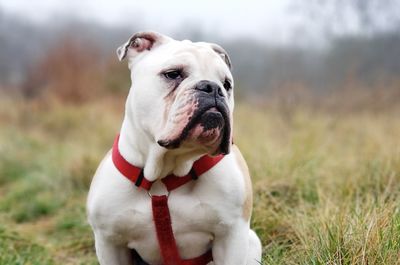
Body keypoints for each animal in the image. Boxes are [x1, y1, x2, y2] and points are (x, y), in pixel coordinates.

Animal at [86, 31, 262, 264]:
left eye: (227, 84)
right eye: (172, 74)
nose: (213, 88)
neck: (163, 173)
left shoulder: (232, 236)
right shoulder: (110, 243)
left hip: (252, 241)